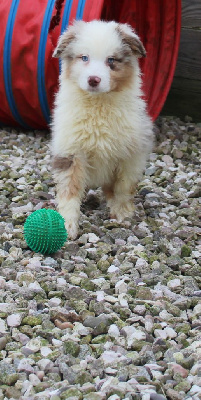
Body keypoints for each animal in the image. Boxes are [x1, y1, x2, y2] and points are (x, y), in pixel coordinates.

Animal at [51, 20, 153, 239]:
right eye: (84, 58)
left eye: (111, 60)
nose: (93, 79)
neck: (98, 105)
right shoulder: (71, 152)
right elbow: (69, 191)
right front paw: (67, 225)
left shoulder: (131, 155)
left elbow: (123, 186)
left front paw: (122, 214)